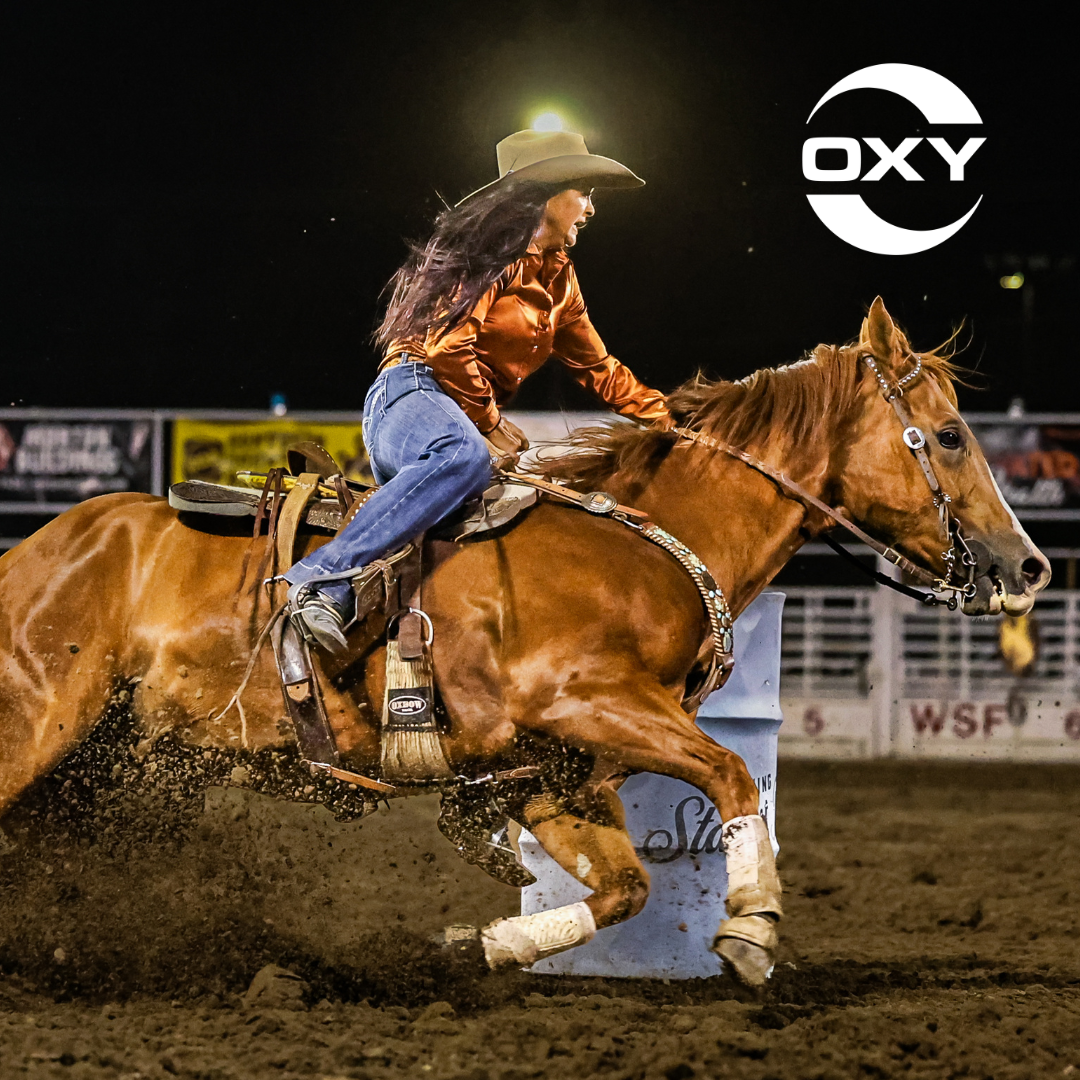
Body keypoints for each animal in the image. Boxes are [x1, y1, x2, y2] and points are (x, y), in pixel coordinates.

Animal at [0, 298, 1050, 987]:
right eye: (949, 436)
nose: (1029, 565)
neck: (647, 541)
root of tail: (42, 551)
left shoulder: (559, 773)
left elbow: (627, 888)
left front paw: (479, 945)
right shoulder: (589, 703)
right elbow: (729, 774)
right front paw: (751, 928)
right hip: (33, 729)